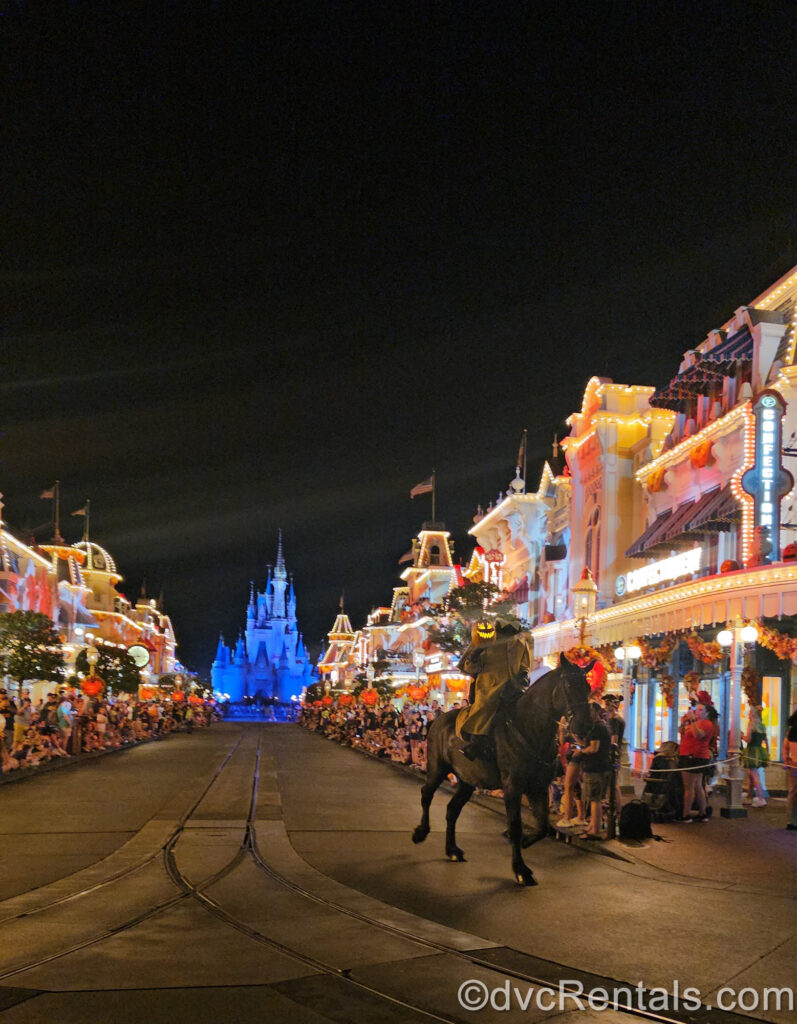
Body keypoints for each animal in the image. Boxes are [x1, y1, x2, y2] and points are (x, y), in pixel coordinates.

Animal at [413, 655, 594, 888]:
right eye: (570, 685)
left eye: (588, 688)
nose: (585, 726)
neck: (530, 729)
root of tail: (438, 720)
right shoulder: (513, 787)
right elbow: (516, 826)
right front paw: (520, 869)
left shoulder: (538, 788)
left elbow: (543, 826)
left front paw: (525, 842)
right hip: (437, 767)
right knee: (426, 795)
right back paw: (421, 832)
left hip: (467, 780)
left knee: (452, 810)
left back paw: (452, 849)